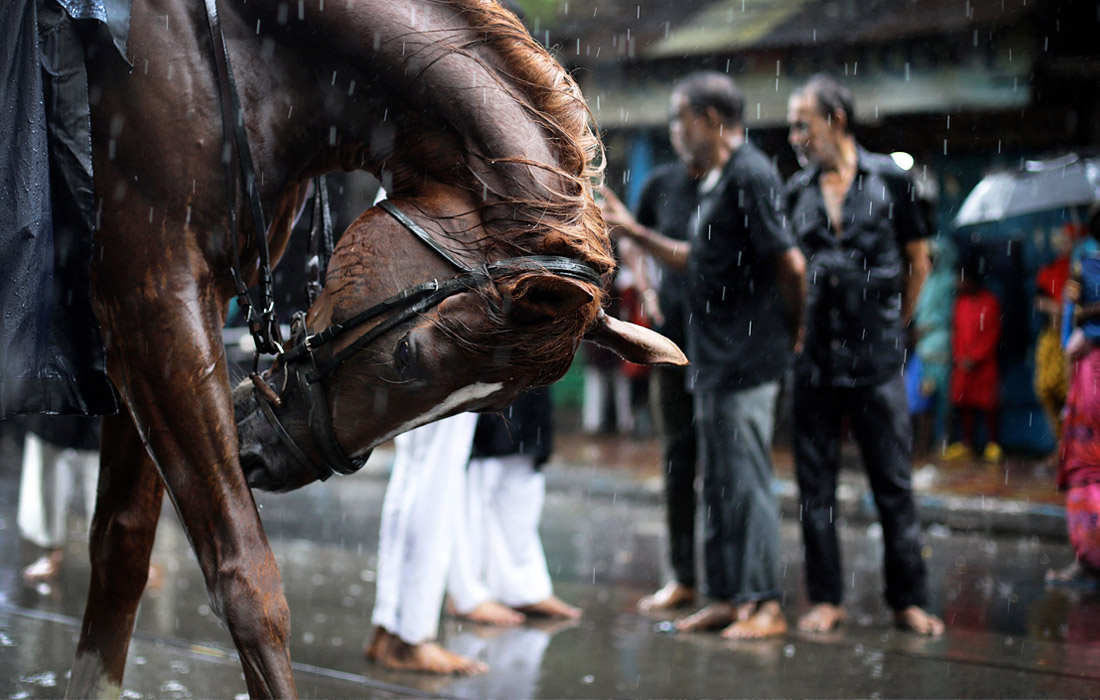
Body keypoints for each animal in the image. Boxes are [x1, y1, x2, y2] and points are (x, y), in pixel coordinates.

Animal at [70, 1, 677, 700]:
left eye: (487, 409)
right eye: (408, 358)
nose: (271, 458)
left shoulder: (159, 311)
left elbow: (121, 549)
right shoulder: (152, 291)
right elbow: (246, 579)